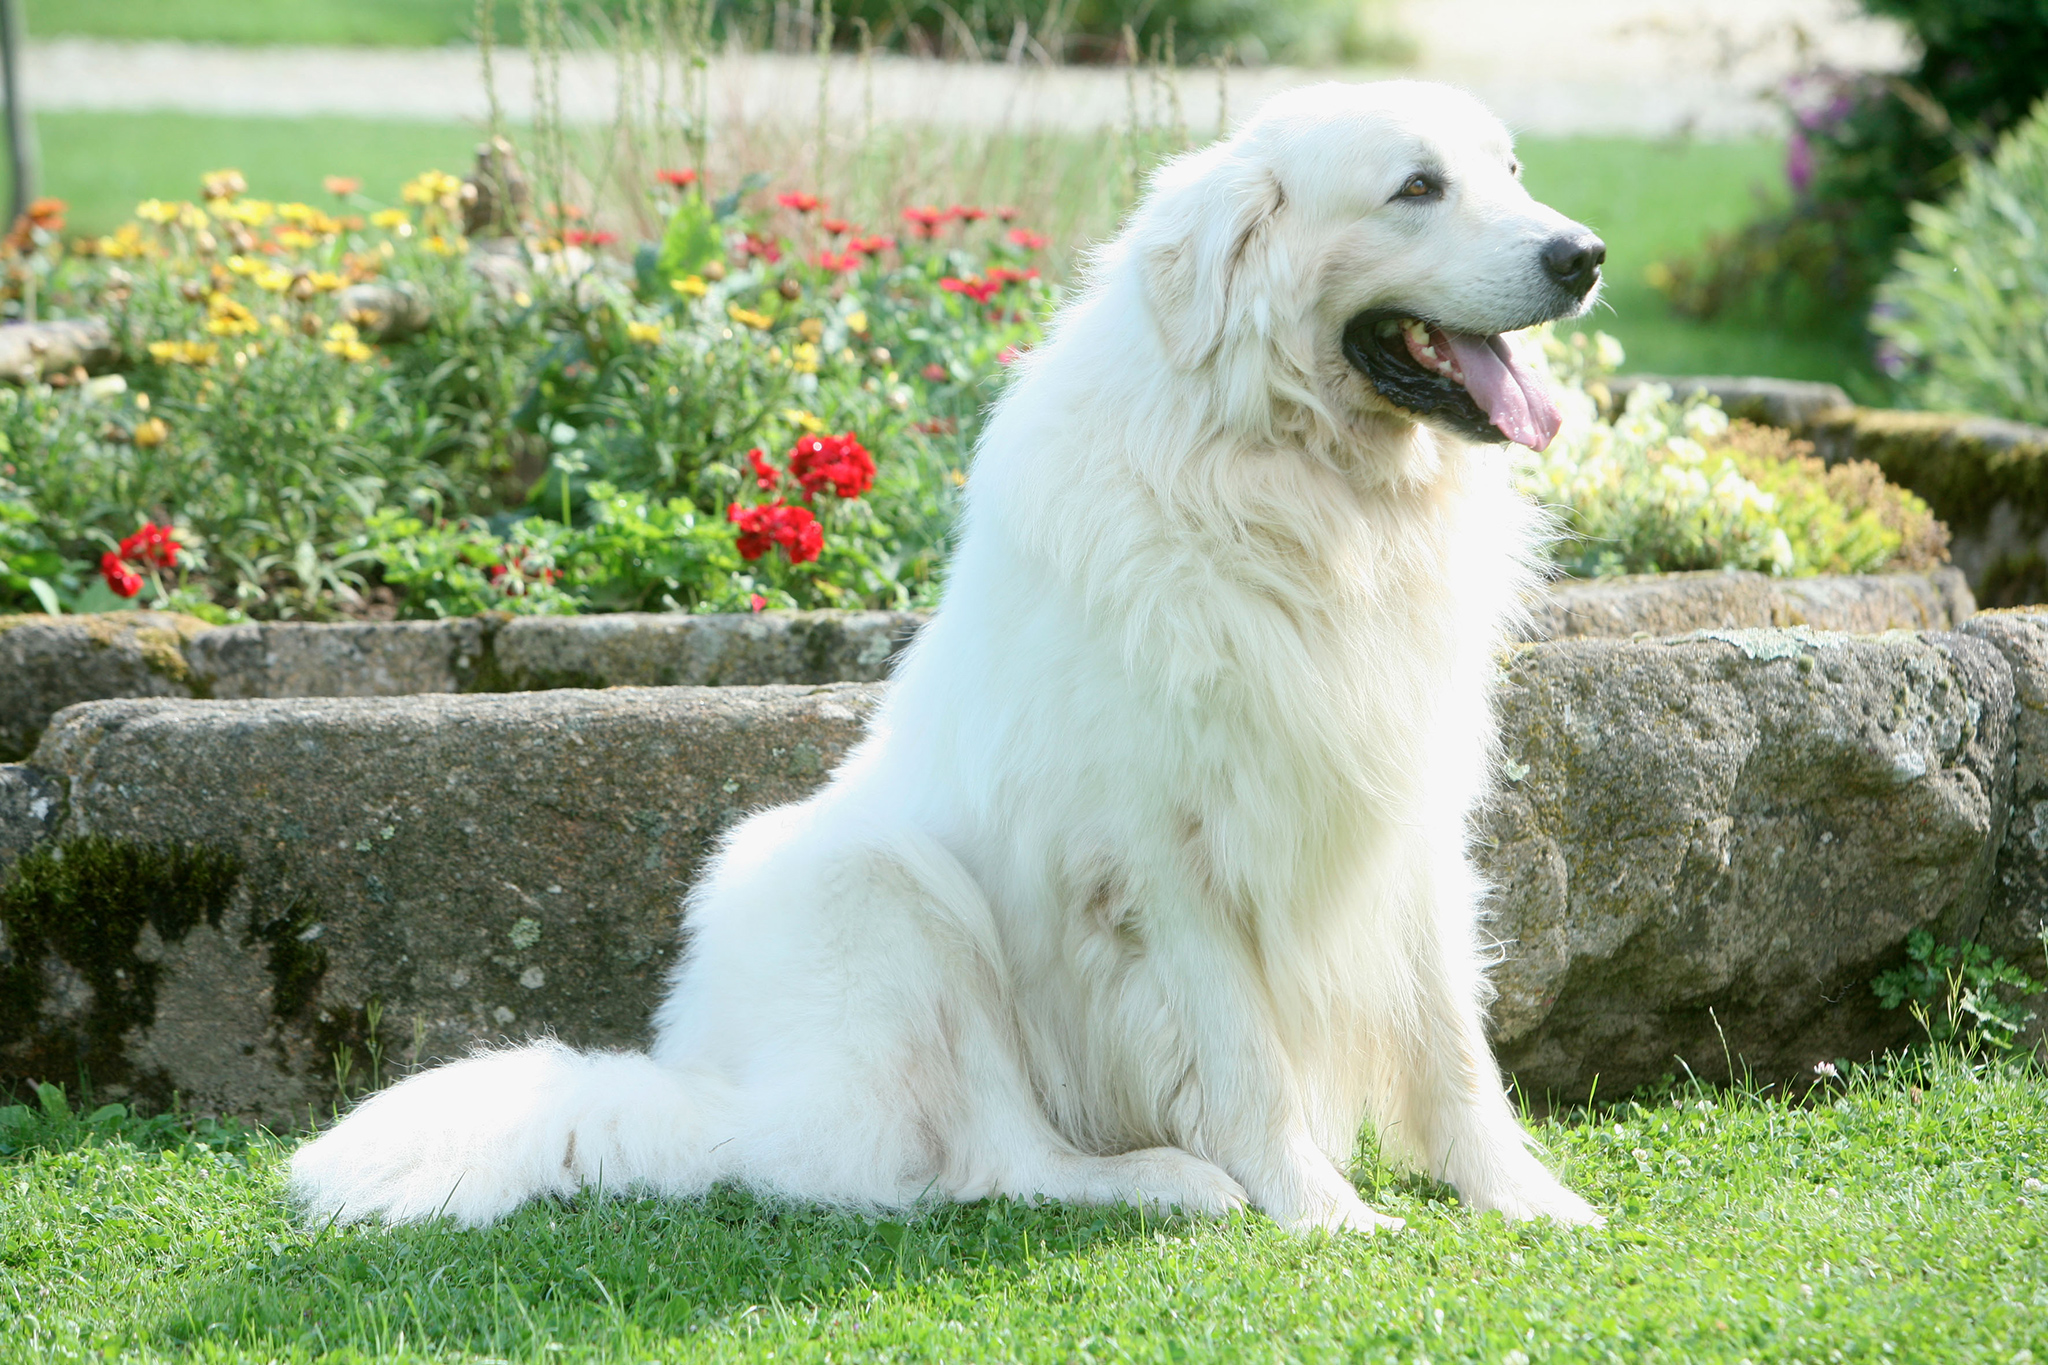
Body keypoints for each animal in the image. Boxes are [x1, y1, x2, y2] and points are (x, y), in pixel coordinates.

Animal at [292, 85, 1597, 1236]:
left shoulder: (1407, 816)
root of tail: (719, 1103)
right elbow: (1245, 1063)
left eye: (1512, 171)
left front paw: (1527, 1202)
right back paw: (1161, 1180)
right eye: (1415, 187)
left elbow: (1454, 1047)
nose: (1581, 254)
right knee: (988, 1162)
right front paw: (1322, 1214)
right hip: (891, 891)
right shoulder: (1162, 856)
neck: (1295, 498)